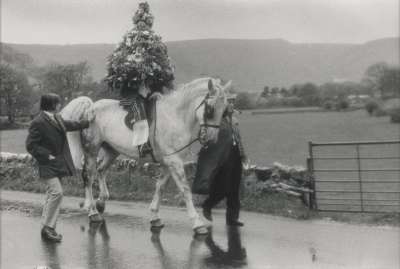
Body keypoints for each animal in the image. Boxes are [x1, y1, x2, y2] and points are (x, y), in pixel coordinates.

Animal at [57, 77, 230, 232]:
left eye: (225, 110)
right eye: (210, 108)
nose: (211, 139)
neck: (174, 117)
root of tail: (90, 108)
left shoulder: (168, 162)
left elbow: (160, 187)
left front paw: (155, 217)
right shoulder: (174, 161)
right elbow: (185, 189)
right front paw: (197, 223)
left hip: (112, 150)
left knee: (101, 170)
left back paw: (101, 201)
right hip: (92, 150)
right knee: (89, 175)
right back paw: (93, 212)